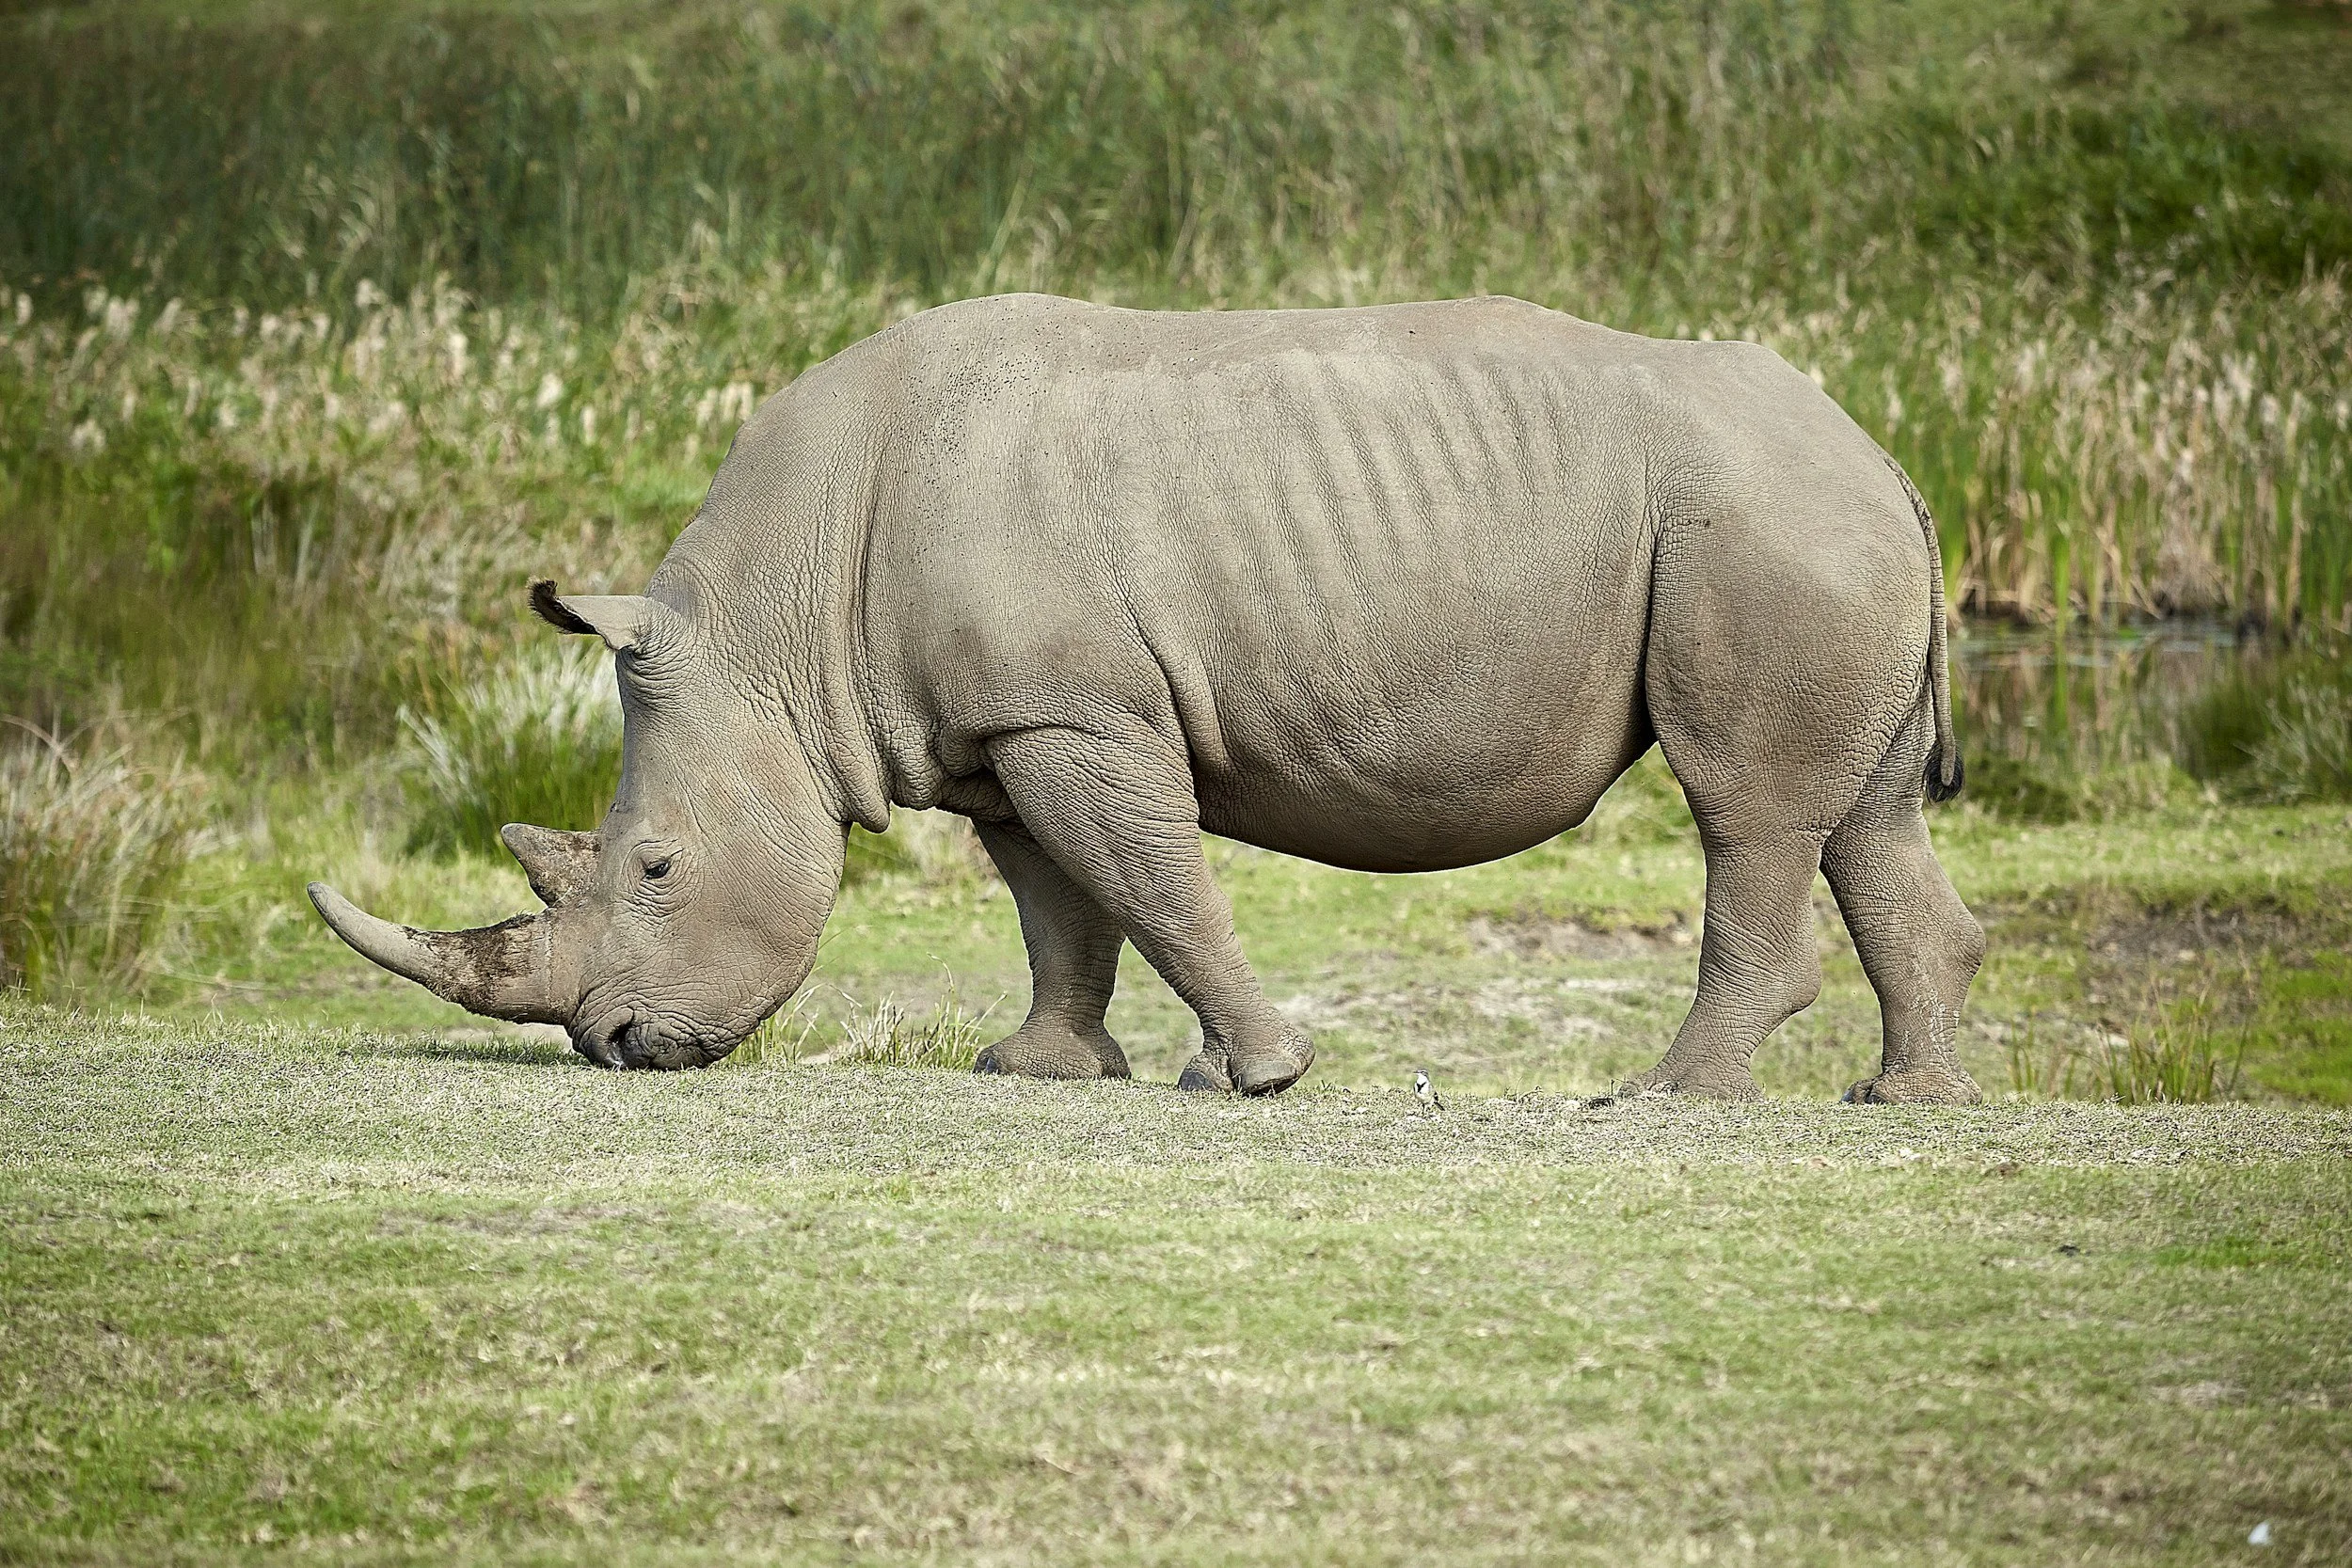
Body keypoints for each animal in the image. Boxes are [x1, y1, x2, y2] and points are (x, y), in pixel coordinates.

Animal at [311, 293, 1986, 1104]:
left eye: (655, 867)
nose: (615, 1046)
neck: (773, 630)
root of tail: (1881, 445)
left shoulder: (1073, 711)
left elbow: (1153, 881)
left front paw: (1259, 1074)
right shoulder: (1003, 726)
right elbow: (1062, 904)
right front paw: (1041, 1069)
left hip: (1757, 518)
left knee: (1746, 807)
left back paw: (1664, 1099)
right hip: (1809, 513)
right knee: (1867, 815)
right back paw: (1905, 1101)